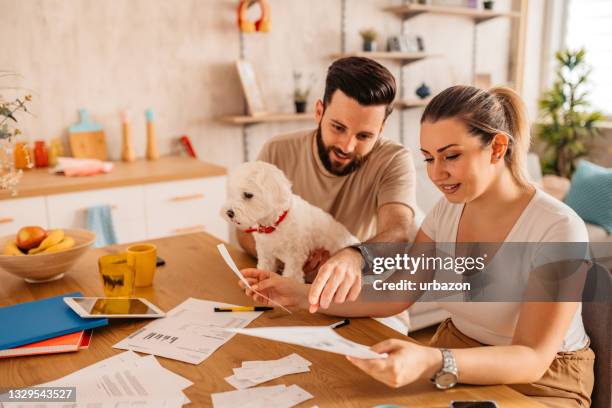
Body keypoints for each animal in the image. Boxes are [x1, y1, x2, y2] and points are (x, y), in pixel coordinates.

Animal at [222, 161, 358, 282]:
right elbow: (265, 267)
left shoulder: (294, 259)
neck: (276, 224)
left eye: (248, 194)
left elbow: (291, 277)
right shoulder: (266, 253)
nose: (229, 213)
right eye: (231, 193)